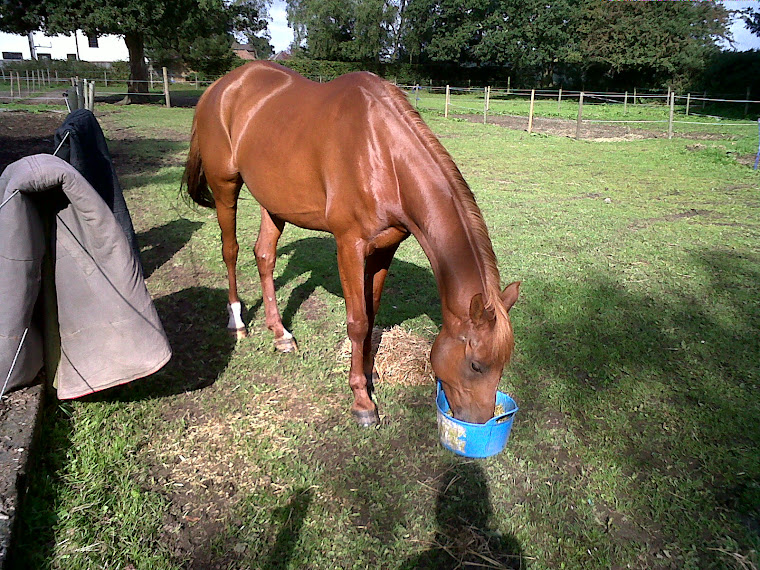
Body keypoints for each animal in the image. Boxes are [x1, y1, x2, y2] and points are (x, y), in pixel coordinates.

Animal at [181, 63, 520, 426]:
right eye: (475, 365)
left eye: (502, 365)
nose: (479, 422)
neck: (382, 153)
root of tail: (220, 86)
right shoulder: (349, 246)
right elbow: (357, 322)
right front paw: (361, 400)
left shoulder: (385, 248)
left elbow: (372, 314)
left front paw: (370, 376)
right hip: (225, 187)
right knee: (230, 251)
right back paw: (238, 322)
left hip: (272, 202)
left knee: (264, 255)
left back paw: (280, 334)